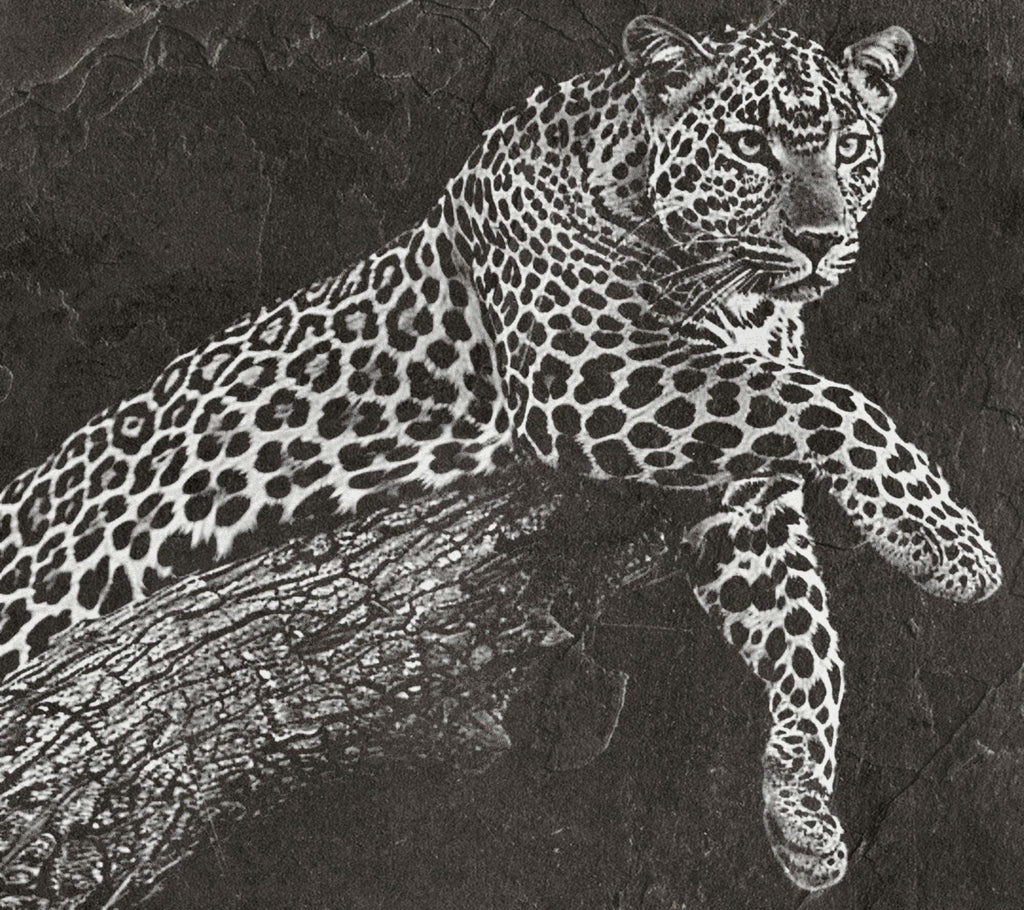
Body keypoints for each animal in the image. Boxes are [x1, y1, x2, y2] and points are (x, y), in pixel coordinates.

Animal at [0, 15, 1002, 892]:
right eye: (752, 146)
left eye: (851, 148)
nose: (820, 241)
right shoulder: (588, 371)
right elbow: (835, 400)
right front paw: (952, 544)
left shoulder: (736, 489)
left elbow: (808, 635)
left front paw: (802, 817)